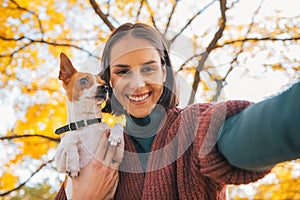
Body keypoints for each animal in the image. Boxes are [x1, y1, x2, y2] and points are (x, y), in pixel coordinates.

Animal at [54, 52, 123, 199]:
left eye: (104, 84)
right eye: (84, 81)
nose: (105, 88)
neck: (87, 123)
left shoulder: (117, 157)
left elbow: (118, 125)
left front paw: (115, 136)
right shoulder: (60, 162)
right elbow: (70, 144)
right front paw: (73, 165)